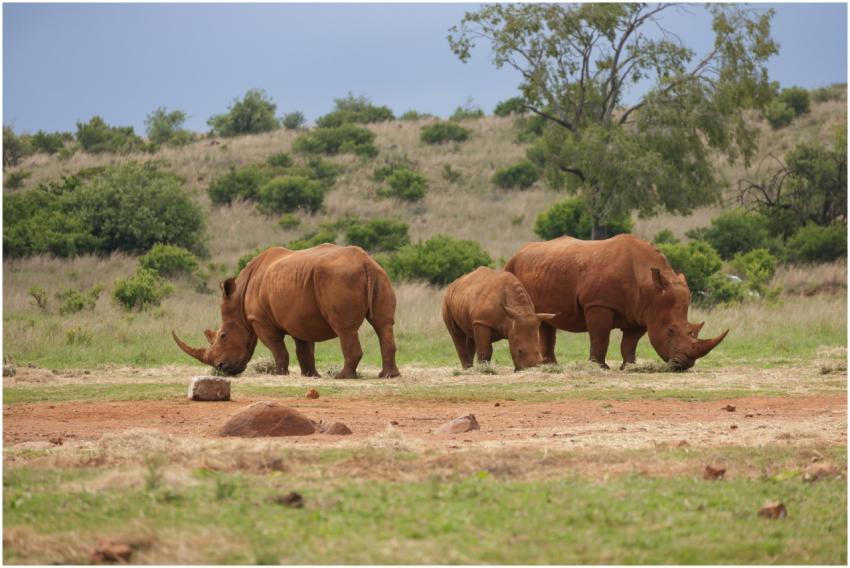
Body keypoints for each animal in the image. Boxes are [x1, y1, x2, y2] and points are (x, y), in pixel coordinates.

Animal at [173, 244, 400, 379]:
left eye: (223, 336)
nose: (221, 369)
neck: (239, 301)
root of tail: (365, 263)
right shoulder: (300, 317)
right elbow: (304, 349)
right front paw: (311, 376)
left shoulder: (260, 321)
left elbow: (278, 348)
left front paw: (279, 374)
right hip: (380, 274)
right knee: (383, 324)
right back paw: (388, 376)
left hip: (339, 278)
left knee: (345, 329)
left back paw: (342, 377)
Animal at [503, 235, 728, 370]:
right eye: (670, 331)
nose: (684, 365)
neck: (649, 285)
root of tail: (519, 251)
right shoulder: (598, 304)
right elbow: (600, 337)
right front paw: (599, 367)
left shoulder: (642, 312)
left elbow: (630, 343)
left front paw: (629, 366)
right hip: (511, 267)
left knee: (546, 321)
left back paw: (551, 367)